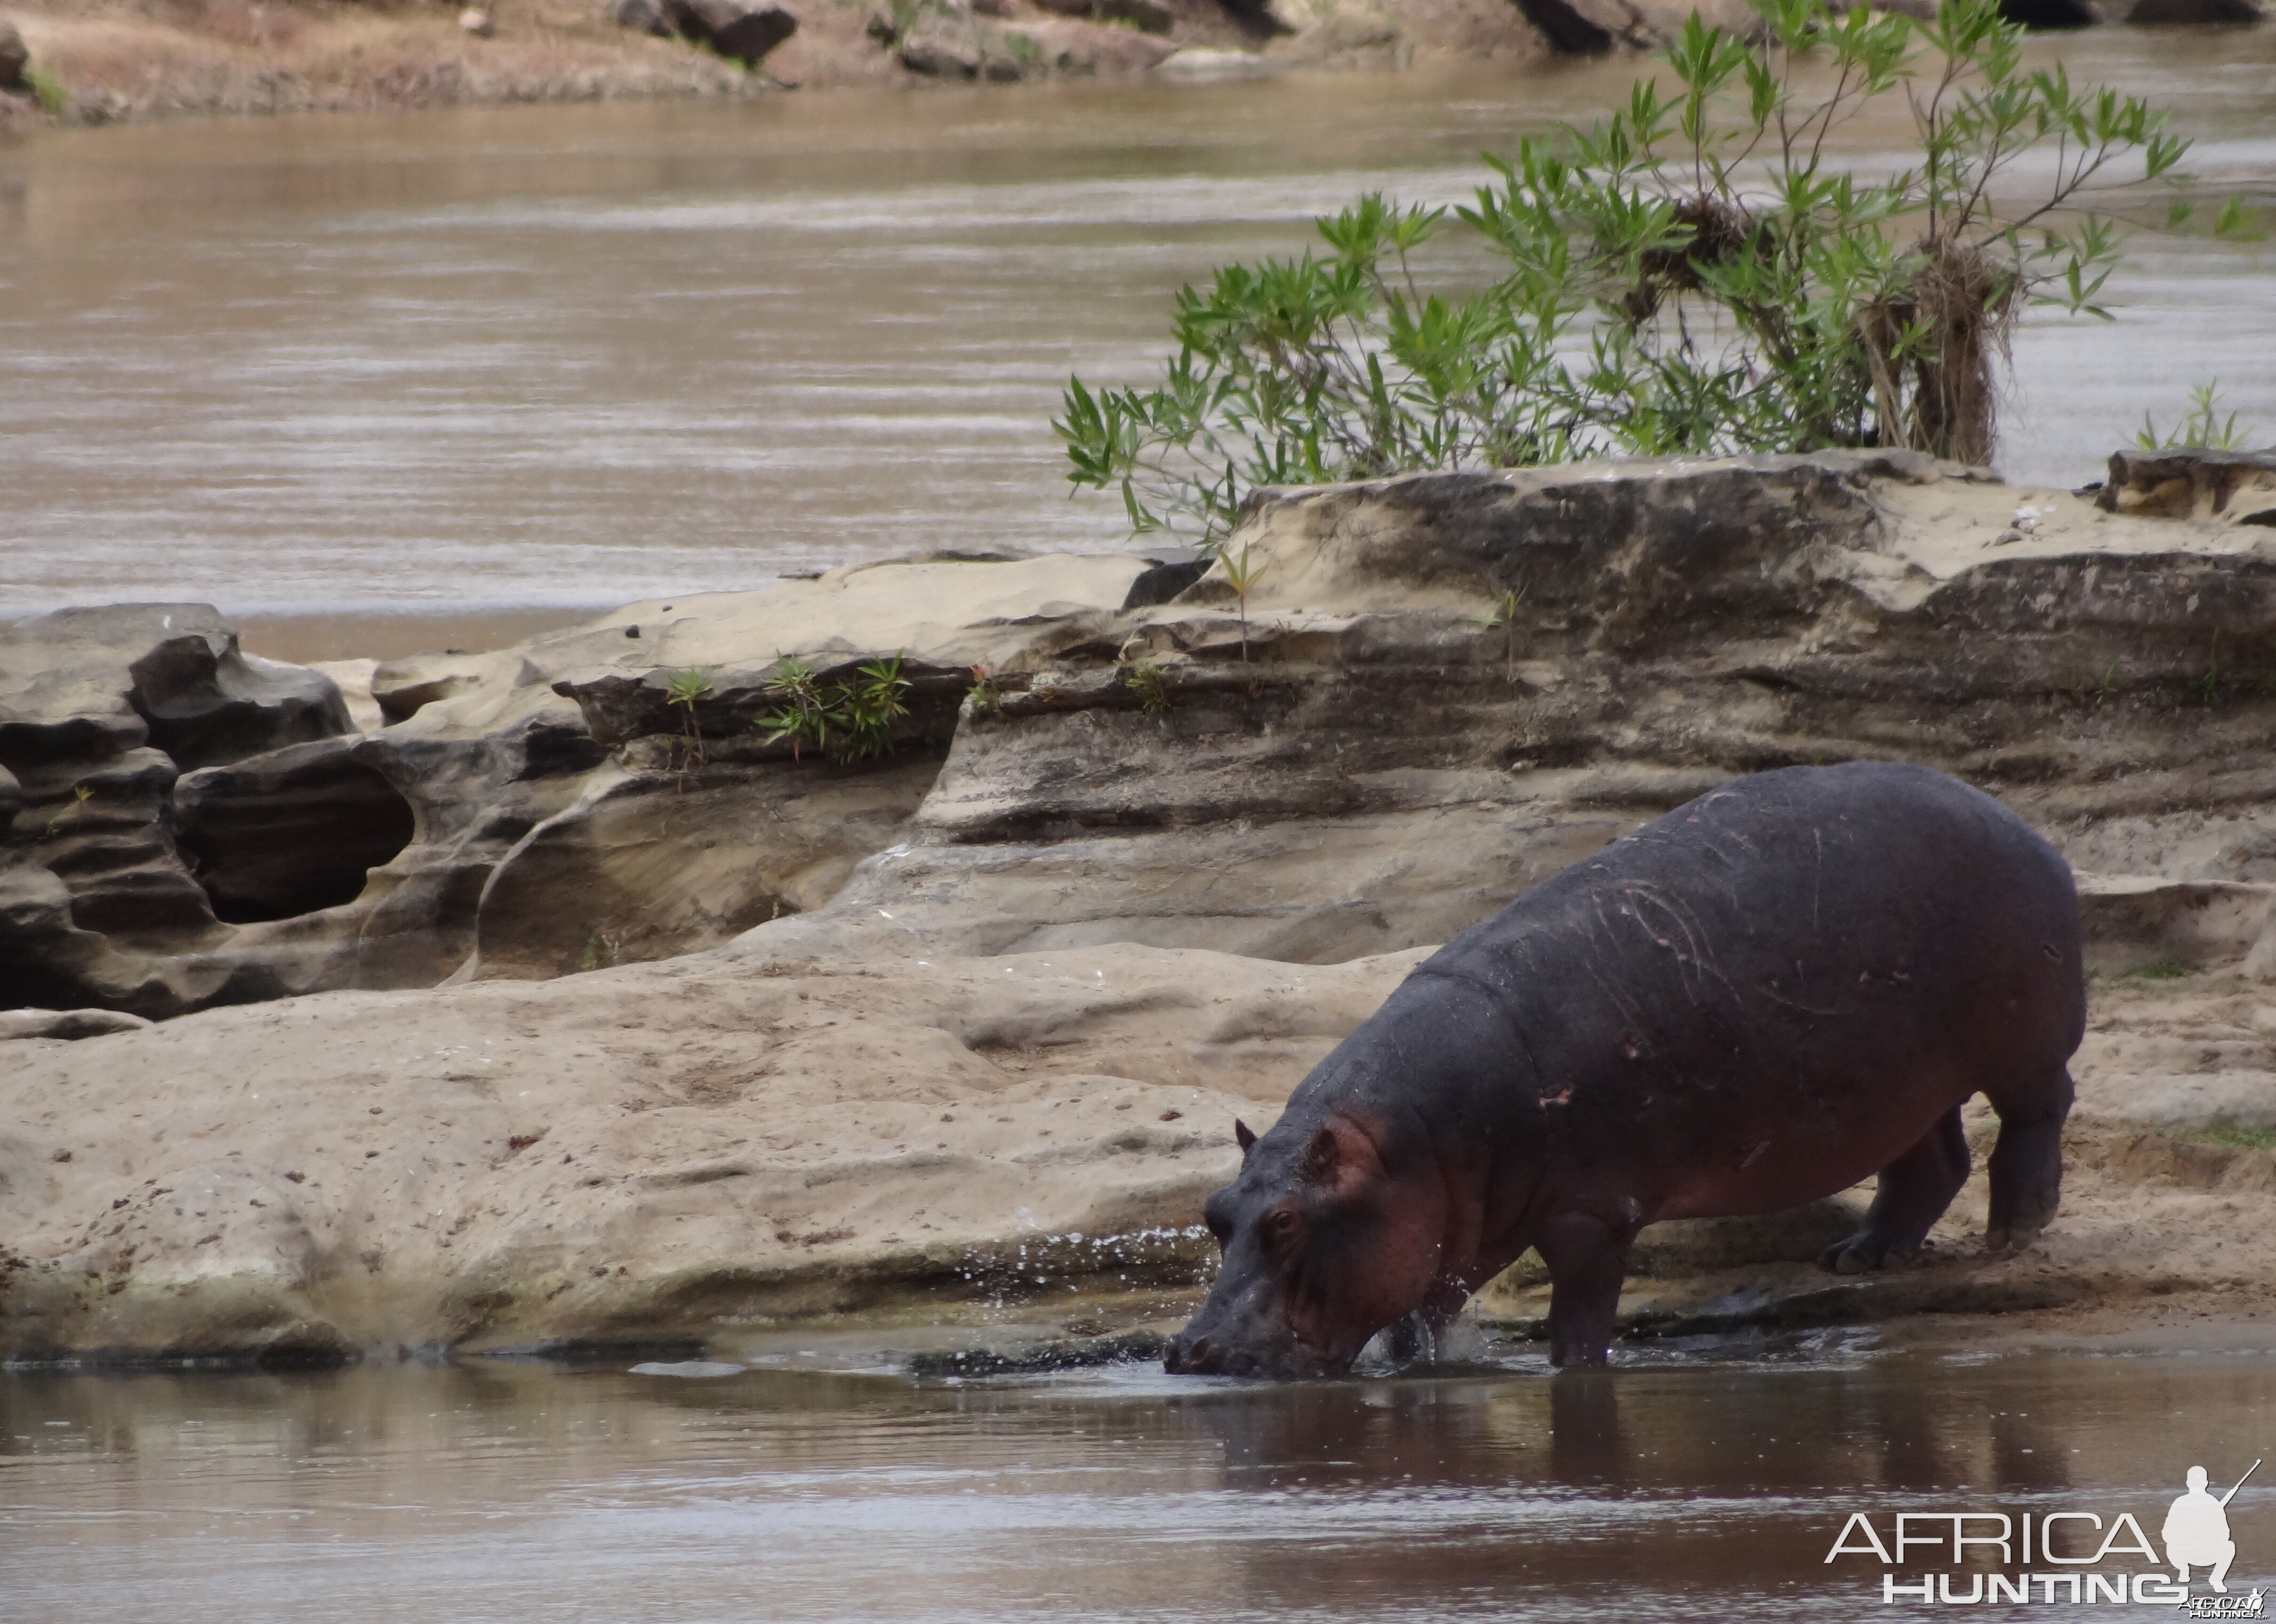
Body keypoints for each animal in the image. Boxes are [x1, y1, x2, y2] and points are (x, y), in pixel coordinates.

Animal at [1174, 764, 2085, 1374]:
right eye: (1215, 1212)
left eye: (1285, 1221)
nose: (1191, 1349)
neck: (1410, 1144)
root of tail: (2011, 815)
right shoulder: (1450, 1227)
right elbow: (1417, 1314)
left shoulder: (1590, 1211)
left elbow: (1578, 1316)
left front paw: (1571, 1370)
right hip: (1902, 1084)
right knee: (1932, 1160)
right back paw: (1859, 1257)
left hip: (2023, 1039)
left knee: (2037, 1112)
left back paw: (2016, 1227)